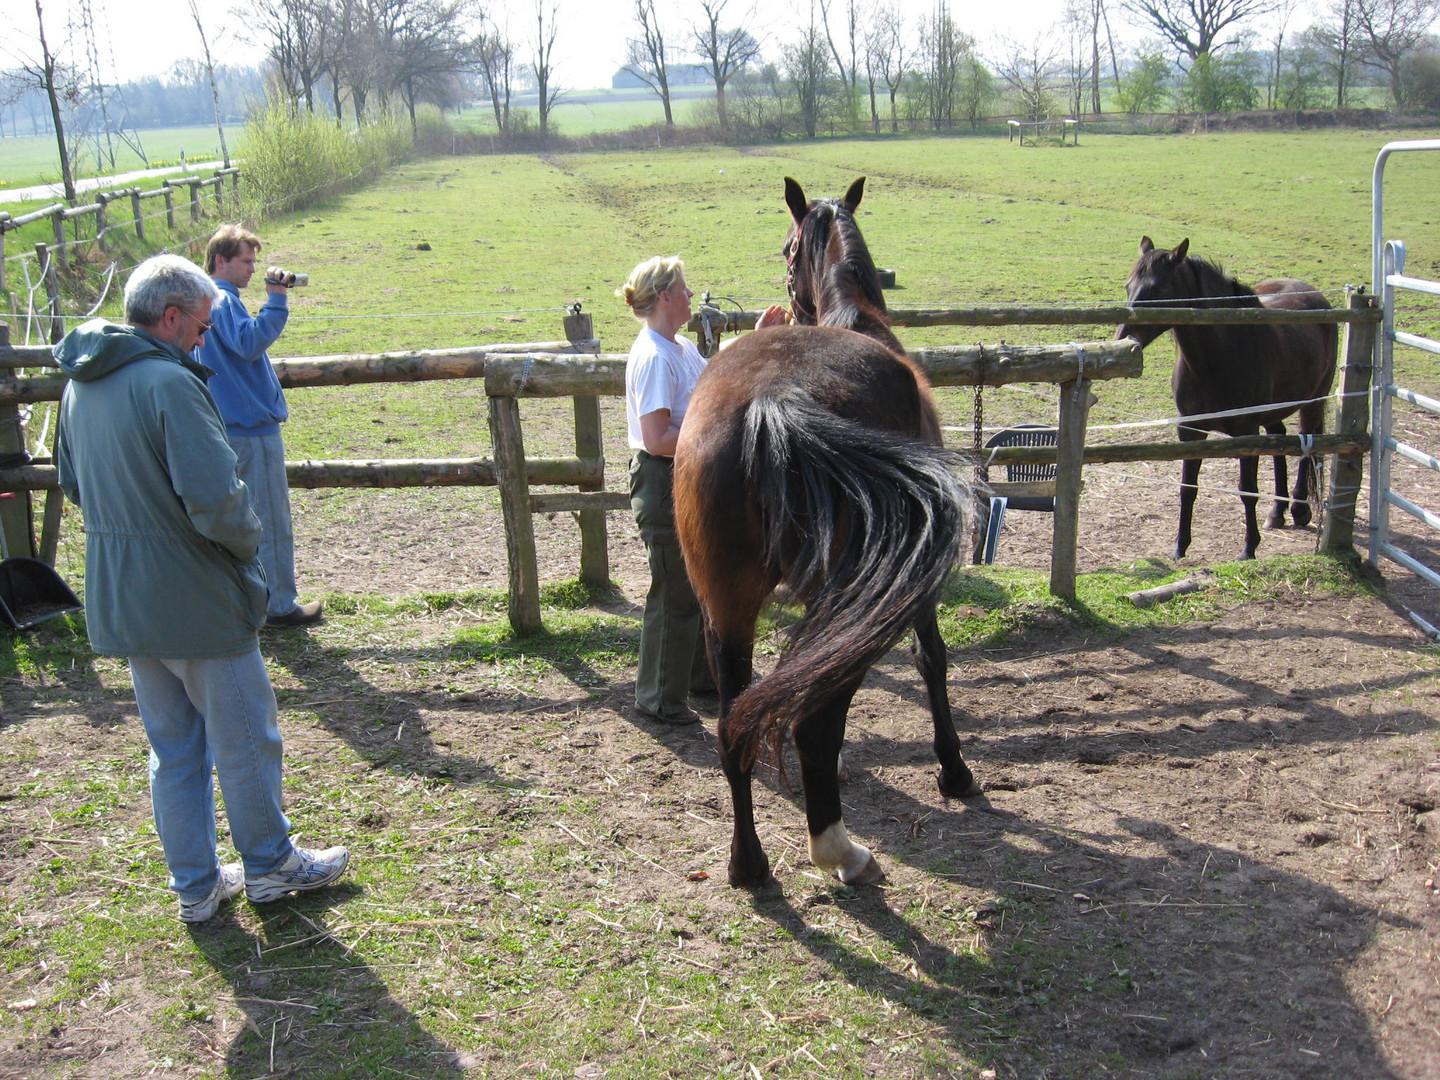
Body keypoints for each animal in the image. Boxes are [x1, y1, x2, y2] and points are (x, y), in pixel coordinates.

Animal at [673, 175, 979, 887]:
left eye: (785, 251)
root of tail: (775, 405)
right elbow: (931, 658)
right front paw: (954, 771)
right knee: (814, 720)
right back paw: (838, 849)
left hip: (726, 609)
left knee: (734, 726)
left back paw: (748, 864)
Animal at [1111, 236, 1336, 558]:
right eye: (1128, 286)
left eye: (1156, 288)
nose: (1123, 340)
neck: (1216, 359)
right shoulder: (1190, 430)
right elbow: (1187, 488)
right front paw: (1180, 546)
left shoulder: (1245, 433)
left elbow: (1247, 490)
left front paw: (1249, 548)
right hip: (1273, 414)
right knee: (1280, 442)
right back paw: (1277, 513)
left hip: (1313, 403)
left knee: (1307, 447)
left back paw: (1299, 510)